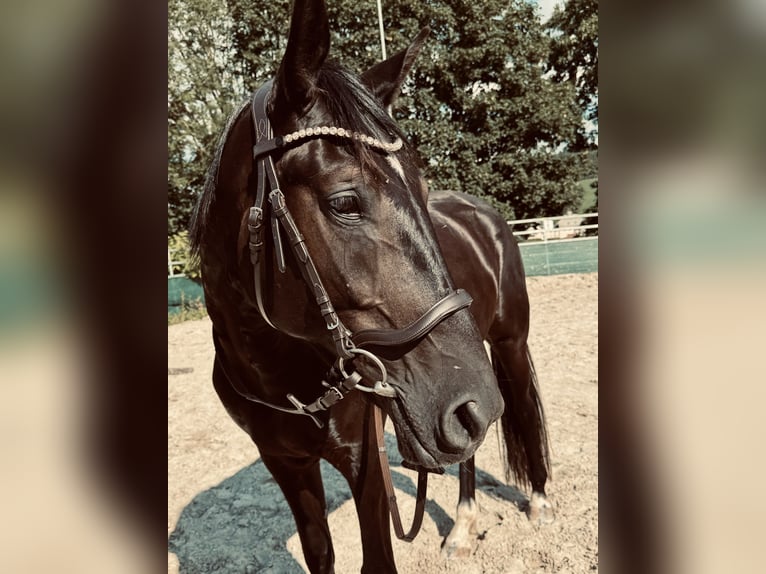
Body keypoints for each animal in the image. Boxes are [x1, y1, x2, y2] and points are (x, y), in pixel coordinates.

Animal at [189, 0, 551, 571]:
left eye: (422, 190)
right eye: (344, 201)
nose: (475, 400)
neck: (285, 376)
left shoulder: (366, 464)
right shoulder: (285, 463)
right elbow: (319, 553)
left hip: (509, 347)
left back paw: (536, 498)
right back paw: (463, 523)